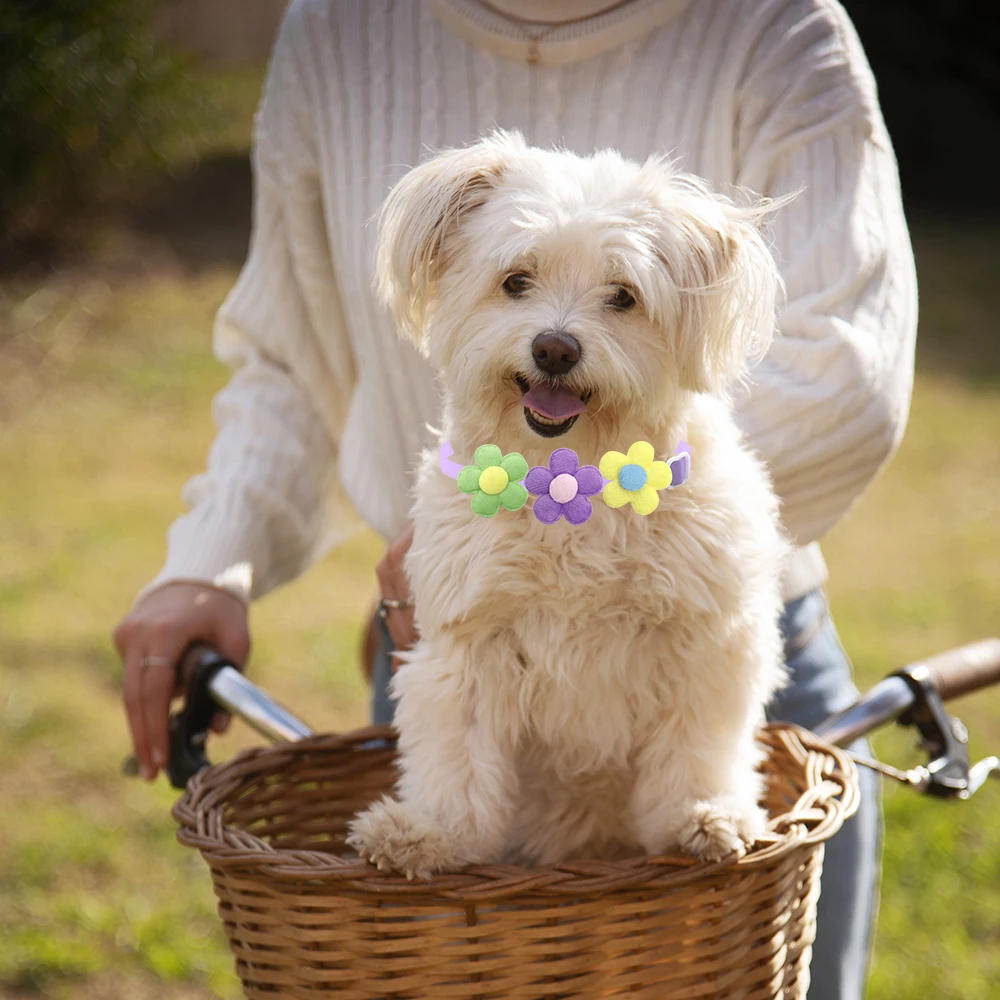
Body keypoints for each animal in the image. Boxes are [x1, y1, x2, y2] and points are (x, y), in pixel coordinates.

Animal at [348, 131, 792, 876]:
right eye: (515, 280)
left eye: (623, 296)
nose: (555, 348)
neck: (572, 480)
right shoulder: (467, 650)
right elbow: (457, 763)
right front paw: (433, 834)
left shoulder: (705, 647)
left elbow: (694, 752)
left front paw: (702, 818)